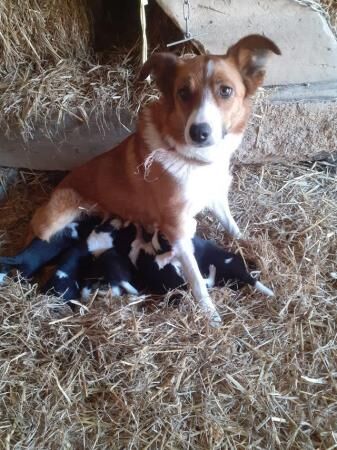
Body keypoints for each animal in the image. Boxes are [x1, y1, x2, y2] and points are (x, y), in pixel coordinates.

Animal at [30, 34, 280, 324]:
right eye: (183, 93)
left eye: (226, 91)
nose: (199, 132)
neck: (193, 160)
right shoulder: (177, 228)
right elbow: (196, 278)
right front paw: (210, 313)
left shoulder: (216, 198)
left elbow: (233, 227)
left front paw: (249, 244)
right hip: (53, 220)